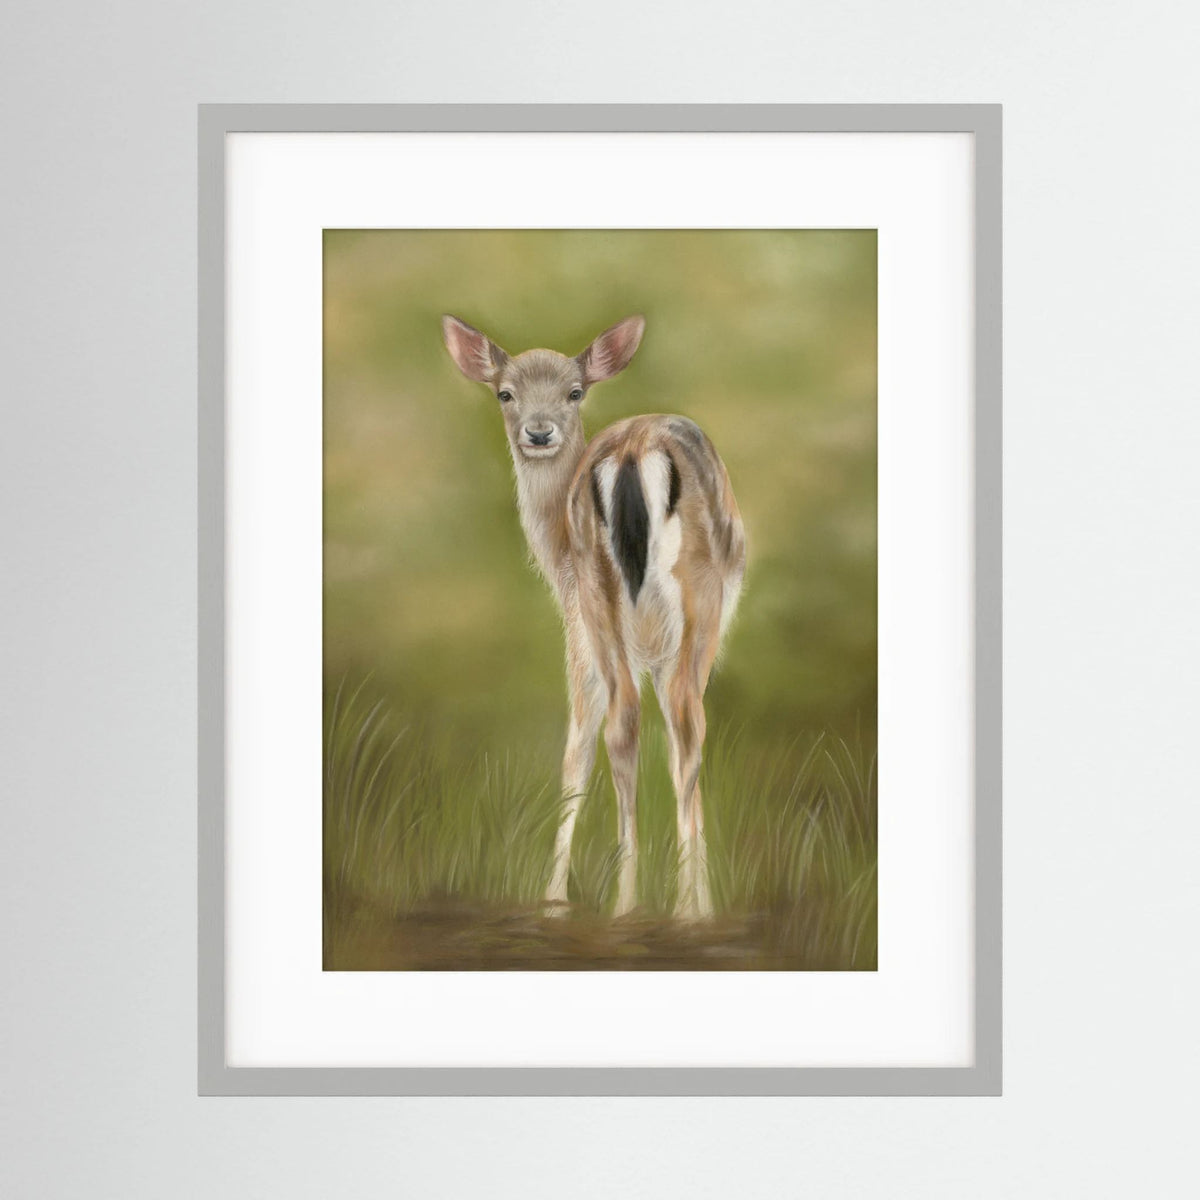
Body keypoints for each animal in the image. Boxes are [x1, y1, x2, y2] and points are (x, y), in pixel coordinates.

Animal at [442, 314, 746, 919]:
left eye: (574, 392)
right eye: (504, 392)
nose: (538, 433)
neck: (554, 556)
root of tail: (632, 452)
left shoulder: (590, 631)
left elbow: (584, 747)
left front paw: (555, 899)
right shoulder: (591, 636)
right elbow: (588, 749)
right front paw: (557, 897)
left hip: (606, 598)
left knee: (634, 723)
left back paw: (633, 904)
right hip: (684, 602)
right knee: (677, 723)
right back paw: (669, 910)